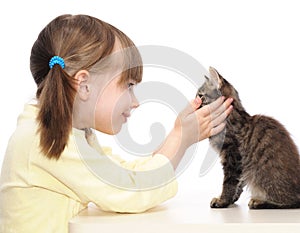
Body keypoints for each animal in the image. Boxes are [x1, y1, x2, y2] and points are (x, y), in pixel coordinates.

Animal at [197, 66, 300, 208]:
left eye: (200, 95)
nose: (194, 102)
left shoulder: (232, 156)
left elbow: (229, 182)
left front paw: (223, 200)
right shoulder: (240, 164)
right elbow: (239, 182)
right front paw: (232, 199)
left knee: (289, 201)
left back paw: (258, 202)